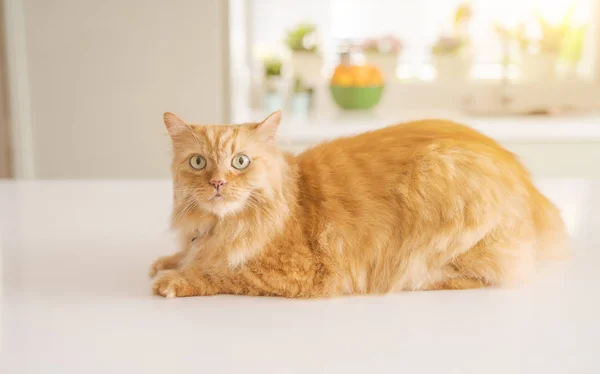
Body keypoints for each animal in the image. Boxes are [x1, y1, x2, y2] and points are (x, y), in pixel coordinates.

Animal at [149, 111, 568, 298]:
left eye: (240, 162)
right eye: (198, 163)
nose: (218, 183)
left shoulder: (294, 273)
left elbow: (218, 273)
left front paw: (173, 279)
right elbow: (190, 256)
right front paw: (167, 262)